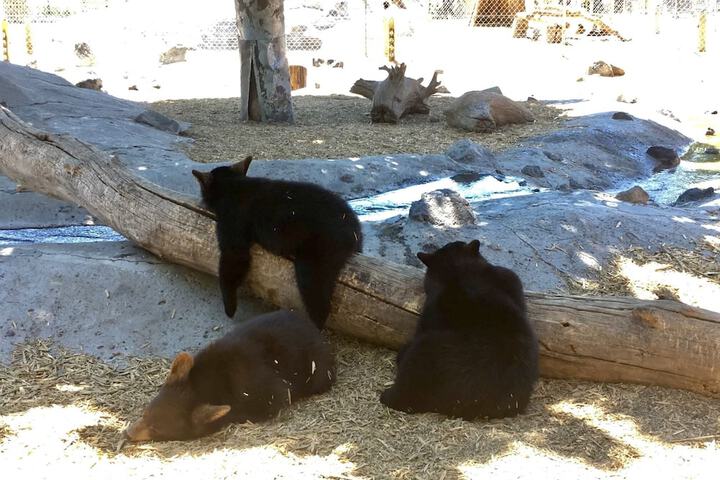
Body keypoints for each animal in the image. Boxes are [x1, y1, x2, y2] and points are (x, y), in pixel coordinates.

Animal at [124, 310, 336, 442]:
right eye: (145, 413)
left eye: (157, 430)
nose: (128, 433)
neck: (207, 382)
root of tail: (316, 331)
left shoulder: (260, 394)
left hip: (319, 370)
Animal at [192, 156, 363, 329]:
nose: (201, 201)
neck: (234, 185)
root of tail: (353, 228)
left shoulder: (233, 232)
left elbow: (231, 265)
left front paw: (229, 308)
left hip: (314, 261)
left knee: (319, 304)